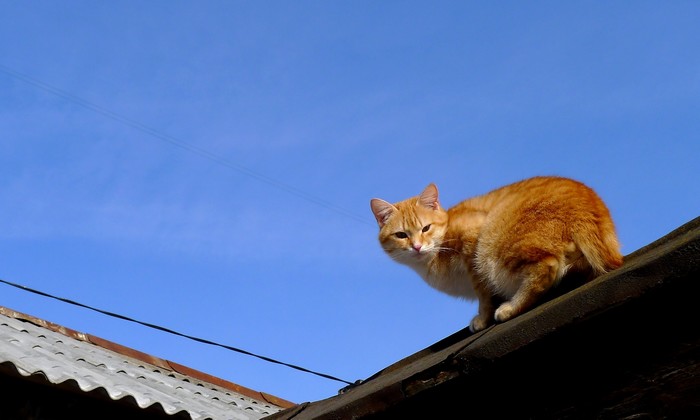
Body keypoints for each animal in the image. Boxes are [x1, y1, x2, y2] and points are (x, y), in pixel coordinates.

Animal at [370, 175, 620, 332]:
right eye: (401, 235)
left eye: (425, 228)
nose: (417, 246)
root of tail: (589, 207)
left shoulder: (472, 244)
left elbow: (484, 294)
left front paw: (483, 318)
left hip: (495, 243)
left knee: (547, 268)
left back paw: (511, 307)